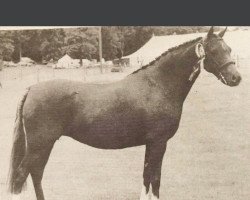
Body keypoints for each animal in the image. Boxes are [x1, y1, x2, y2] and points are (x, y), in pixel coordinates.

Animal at [8, 27, 241, 200]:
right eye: (214, 51)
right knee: (22, 175)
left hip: (44, 145)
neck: (158, 85)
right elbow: (154, 179)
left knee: (35, 174)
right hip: (40, 144)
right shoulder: (158, 142)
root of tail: (32, 89)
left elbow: (147, 178)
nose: (236, 77)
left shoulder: (151, 143)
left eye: (229, 49)